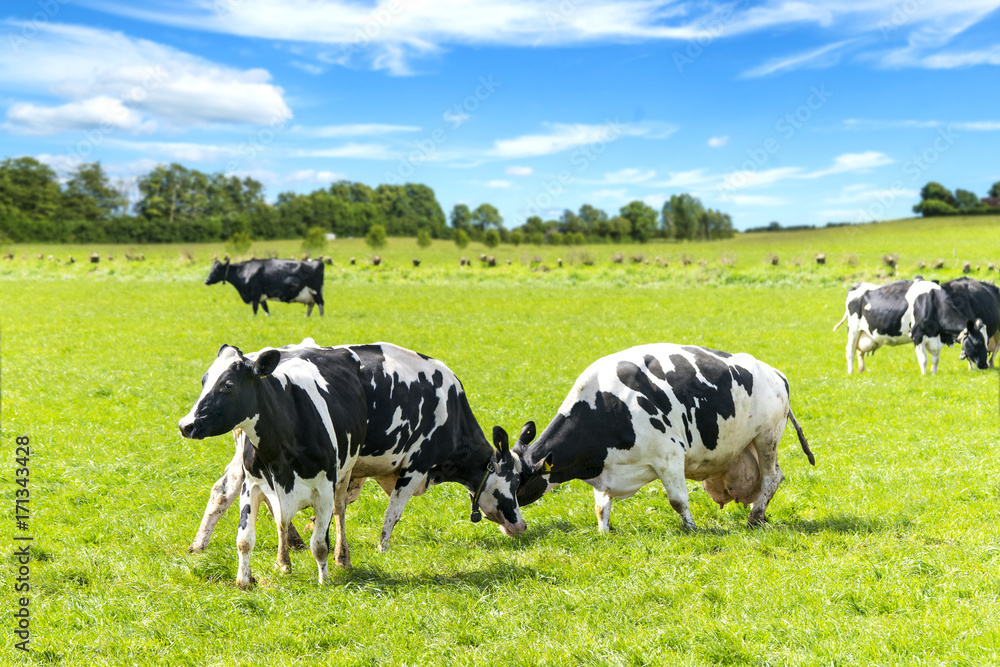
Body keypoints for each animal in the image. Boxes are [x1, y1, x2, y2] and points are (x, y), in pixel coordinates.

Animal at [180, 342, 368, 588]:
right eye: (204, 380)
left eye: (228, 385)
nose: (186, 425)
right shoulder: (252, 485)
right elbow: (245, 539)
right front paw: (245, 580)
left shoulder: (324, 489)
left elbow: (318, 543)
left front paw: (324, 581)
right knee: (280, 520)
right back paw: (283, 563)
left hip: (345, 474)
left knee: (339, 511)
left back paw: (342, 559)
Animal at [190, 340, 528, 568]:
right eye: (514, 483)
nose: (521, 525)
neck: (451, 408)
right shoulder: (415, 464)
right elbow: (393, 512)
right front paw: (382, 548)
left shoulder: (352, 469)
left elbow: (341, 505)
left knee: (223, 490)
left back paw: (200, 545)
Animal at [504, 348, 816, 536]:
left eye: (516, 483)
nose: (507, 524)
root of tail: (775, 373)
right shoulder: (604, 467)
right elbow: (601, 506)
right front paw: (603, 532)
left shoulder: (669, 457)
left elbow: (678, 500)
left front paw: (691, 528)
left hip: (767, 436)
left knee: (772, 477)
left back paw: (755, 515)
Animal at [844, 278, 984, 376]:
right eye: (978, 342)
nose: (985, 365)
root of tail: (858, 285)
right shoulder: (917, 334)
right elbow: (924, 360)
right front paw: (924, 376)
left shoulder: (936, 338)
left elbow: (936, 360)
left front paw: (933, 374)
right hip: (853, 329)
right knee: (850, 350)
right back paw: (850, 372)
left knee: (859, 351)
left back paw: (861, 370)